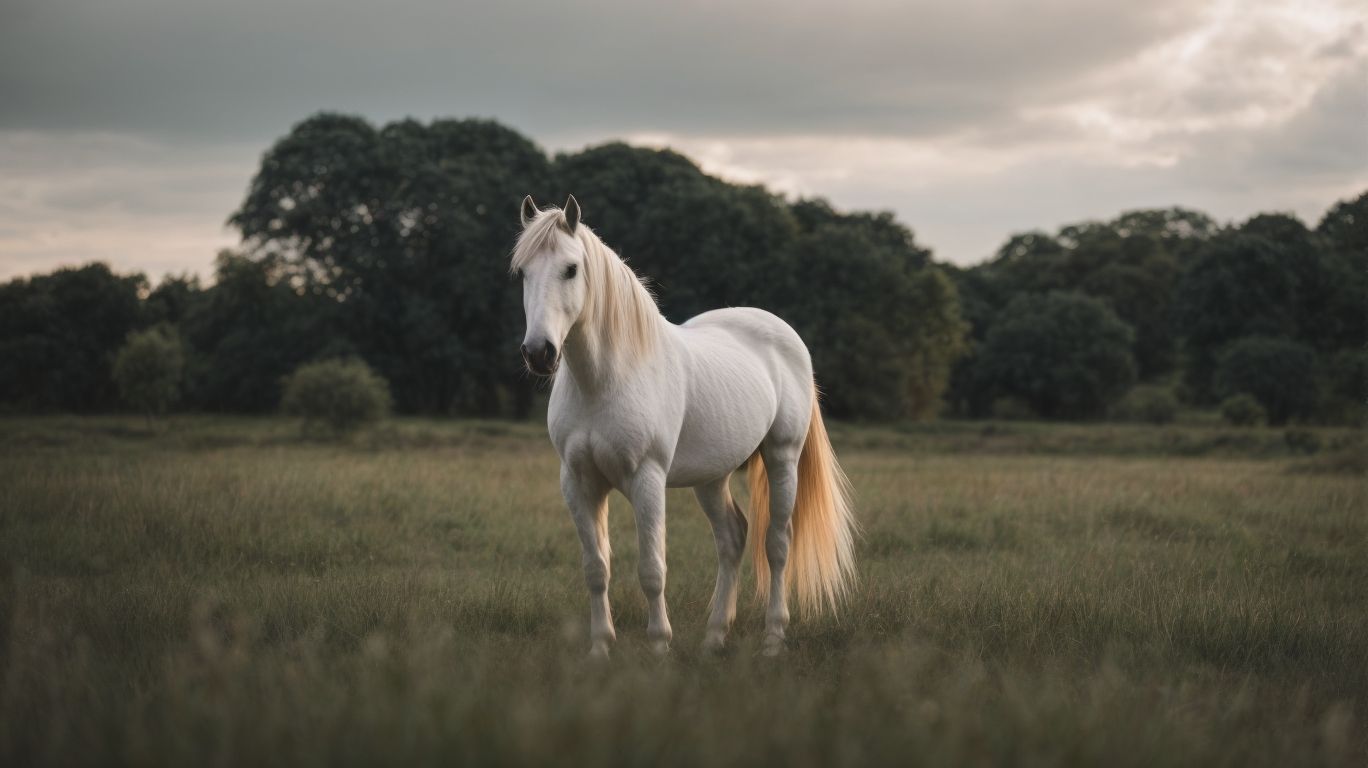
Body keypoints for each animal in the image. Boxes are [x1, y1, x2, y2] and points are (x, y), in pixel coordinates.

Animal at [511, 195, 857, 658]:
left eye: (571, 269)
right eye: (523, 272)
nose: (539, 353)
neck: (605, 380)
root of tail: (785, 335)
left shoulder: (647, 479)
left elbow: (652, 569)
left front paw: (659, 646)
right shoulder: (578, 481)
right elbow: (596, 567)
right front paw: (600, 648)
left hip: (783, 457)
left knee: (777, 544)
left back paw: (772, 639)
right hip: (712, 478)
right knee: (732, 538)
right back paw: (714, 637)